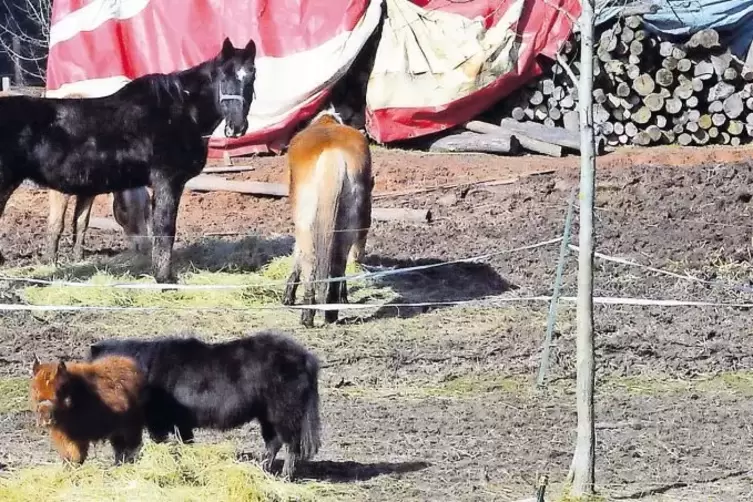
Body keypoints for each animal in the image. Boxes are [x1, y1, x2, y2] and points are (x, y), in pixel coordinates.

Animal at [0, 38, 258, 282]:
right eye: (223, 76)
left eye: (252, 75)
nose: (236, 127)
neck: (180, 112)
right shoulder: (167, 182)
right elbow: (165, 229)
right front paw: (164, 278)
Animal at [89, 330, 320, 478]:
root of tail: (304, 356)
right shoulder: (180, 423)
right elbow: (186, 443)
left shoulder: (159, 422)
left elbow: (163, 443)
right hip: (267, 415)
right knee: (273, 442)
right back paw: (263, 469)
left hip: (286, 413)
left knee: (291, 444)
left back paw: (286, 476)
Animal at [282, 106, 374, 328]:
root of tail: (334, 155)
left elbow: (297, 253)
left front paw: (288, 294)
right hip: (348, 224)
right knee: (339, 261)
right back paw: (332, 310)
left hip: (306, 223)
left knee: (310, 260)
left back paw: (307, 316)